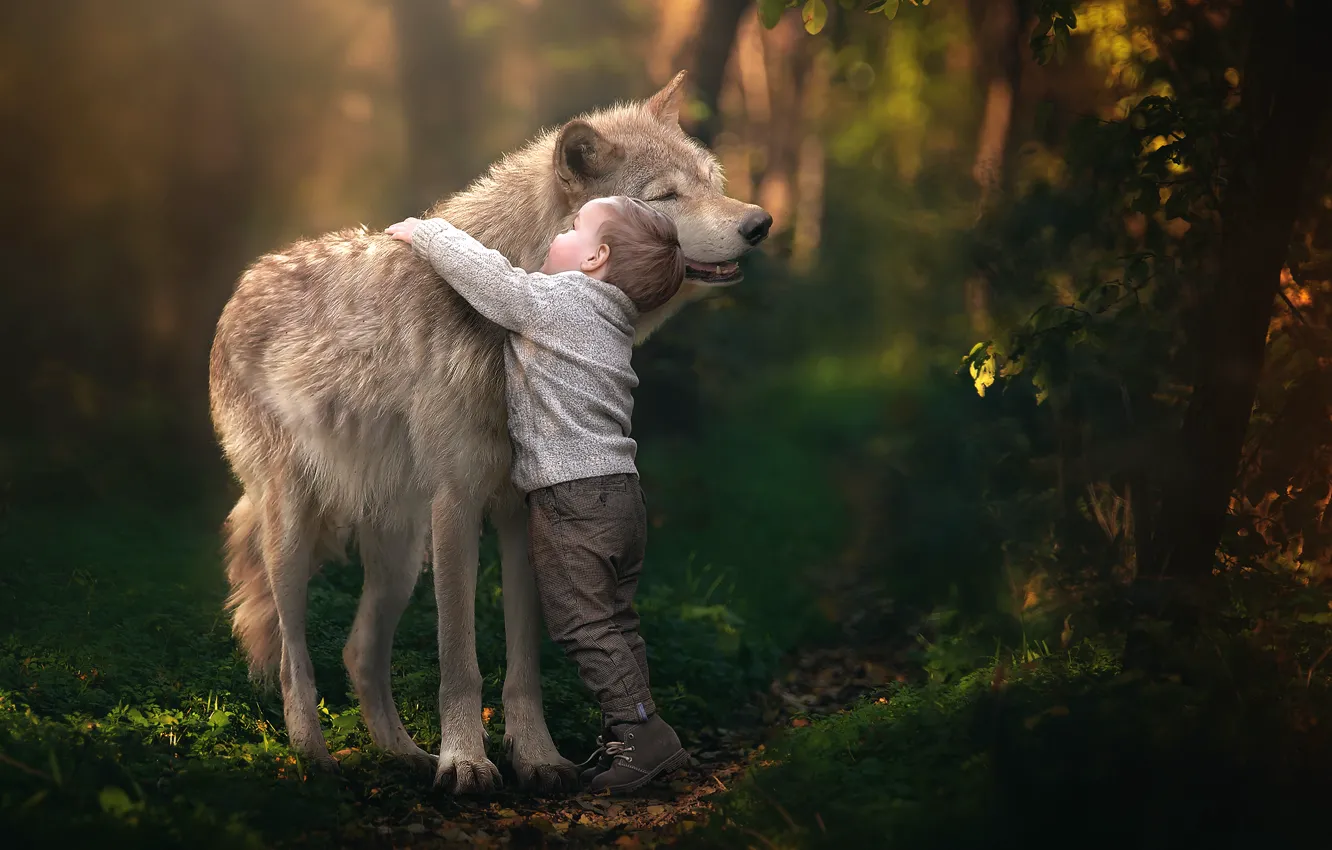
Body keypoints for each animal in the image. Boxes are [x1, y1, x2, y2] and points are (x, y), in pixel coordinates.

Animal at [208, 71, 771, 794]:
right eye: (667, 198)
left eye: (708, 180)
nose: (759, 223)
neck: (509, 327)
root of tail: (241, 286)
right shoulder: (458, 504)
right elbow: (460, 661)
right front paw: (467, 763)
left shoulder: (521, 511)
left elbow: (523, 663)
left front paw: (536, 757)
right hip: (295, 533)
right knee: (292, 655)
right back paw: (314, 759)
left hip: (399, 552)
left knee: (359, 651)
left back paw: (403, 756)